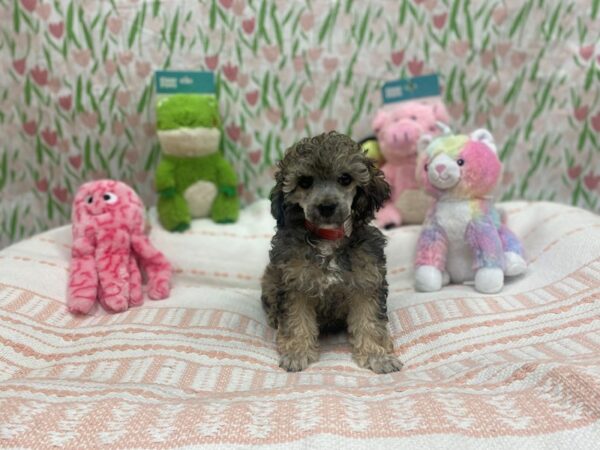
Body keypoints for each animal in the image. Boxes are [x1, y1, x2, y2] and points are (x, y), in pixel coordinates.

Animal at [260, 131, 400, 372]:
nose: (326, 207)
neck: (328, 238)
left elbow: (371, 322)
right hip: (270, 279)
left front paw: (377, 356)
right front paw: (297, 352)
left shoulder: (367, 283)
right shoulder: (294, 284)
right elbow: (296, 320)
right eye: (305, 182)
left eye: (345, 178)